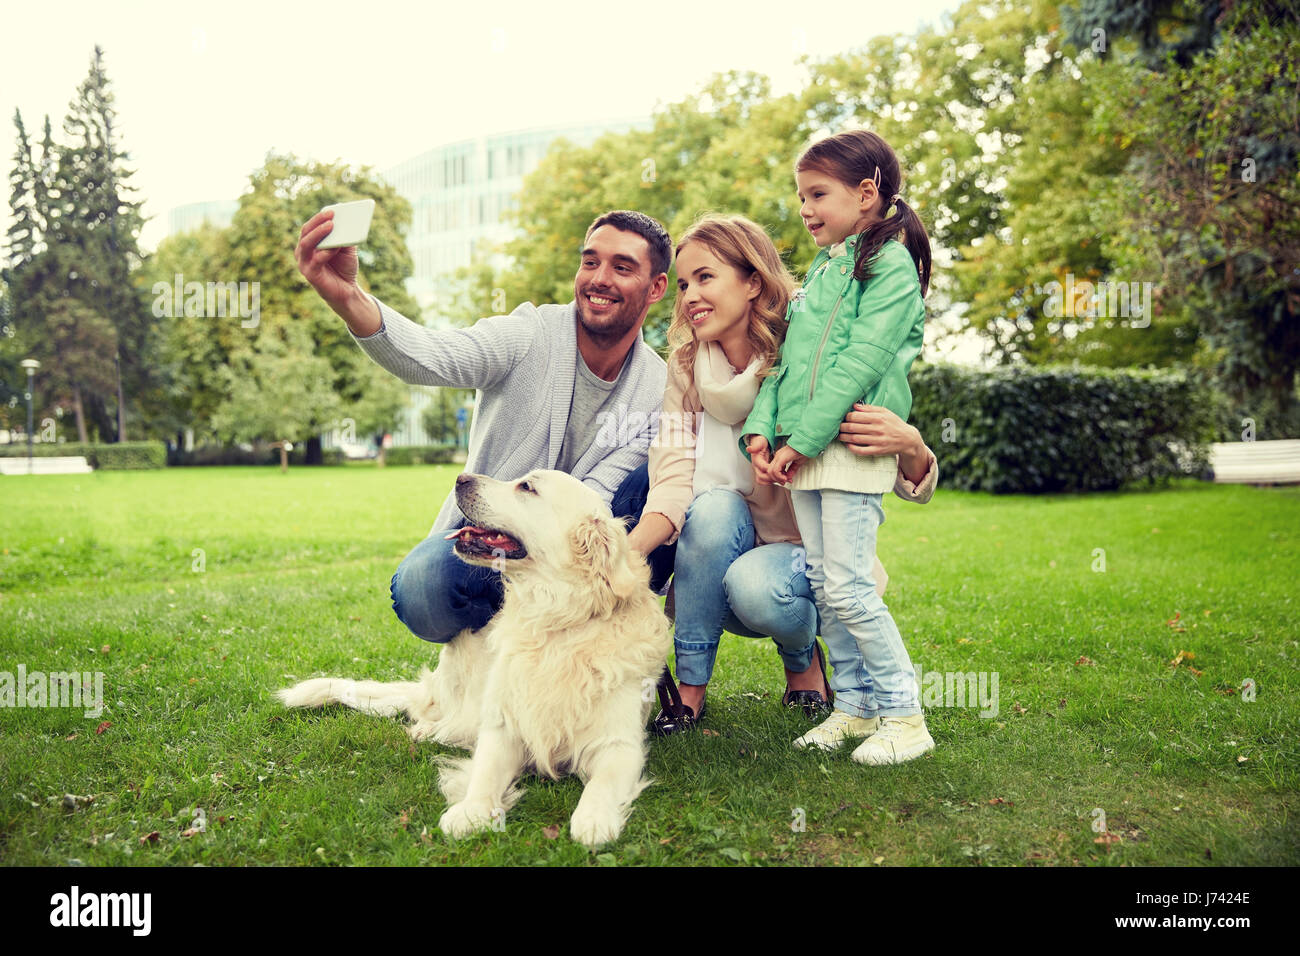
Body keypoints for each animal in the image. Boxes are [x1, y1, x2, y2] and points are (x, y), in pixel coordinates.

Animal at [280, 468, 676, 848]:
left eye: (527, 487)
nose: (460, 478)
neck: (554, 622)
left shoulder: (619, 744)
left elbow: (601, 785)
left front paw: (594, 820)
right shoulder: (503, 724)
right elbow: (485, 772)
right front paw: (471, 811)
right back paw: (428, 729)